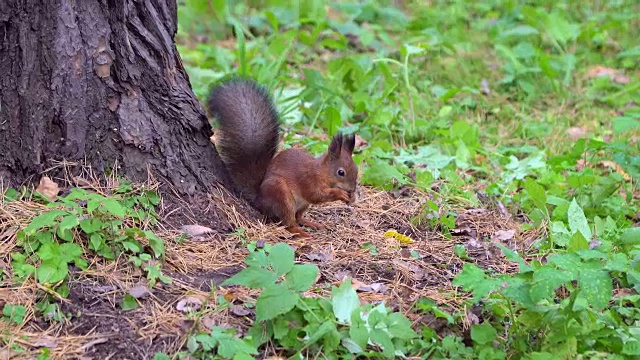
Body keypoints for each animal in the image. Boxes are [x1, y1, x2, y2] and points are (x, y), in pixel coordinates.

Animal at [209, 77, 360, 238]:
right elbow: (316, 195)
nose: (352, 189)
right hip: (281, 195)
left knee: (298, 217)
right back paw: (301, 232)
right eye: (341, 172)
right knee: (288, 223)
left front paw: (352, 198)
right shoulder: (308, 180)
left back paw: (312, 224)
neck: (322, 172)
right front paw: (340, 194)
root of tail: (259, 200)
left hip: (302, 204)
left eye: (356, 169)